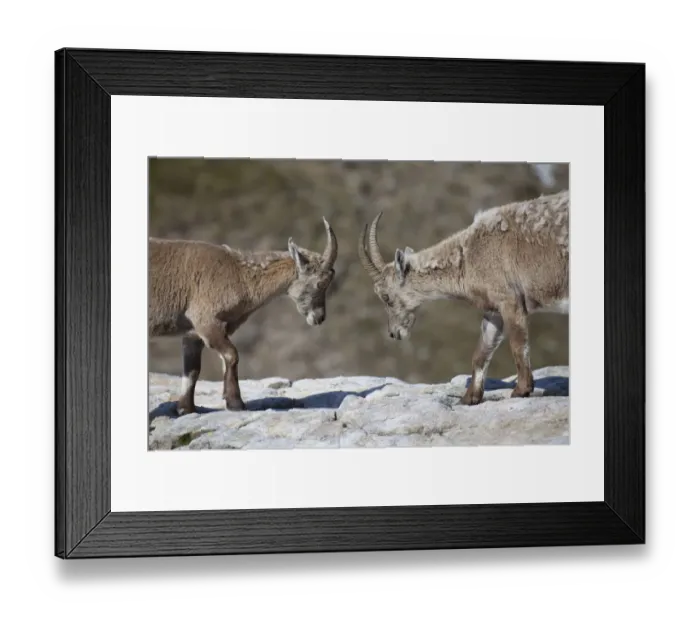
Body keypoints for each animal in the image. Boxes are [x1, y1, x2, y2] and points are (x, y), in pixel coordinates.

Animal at [149, 218, 338, 414]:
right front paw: (236, 403)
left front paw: (186, 409)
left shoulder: (193, 333)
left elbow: (192, 371)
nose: (319, 317)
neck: (240, 276)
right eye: (320, 283)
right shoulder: (206, 322)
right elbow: (232, 355)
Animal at [358, 190, 569, 405]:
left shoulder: (510, 300)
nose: (394, 333)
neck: (468, 256)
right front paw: (469, 398)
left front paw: (522, 390)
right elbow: (481, 353)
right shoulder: (494, 311)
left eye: (385, 296)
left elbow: (519, 345)